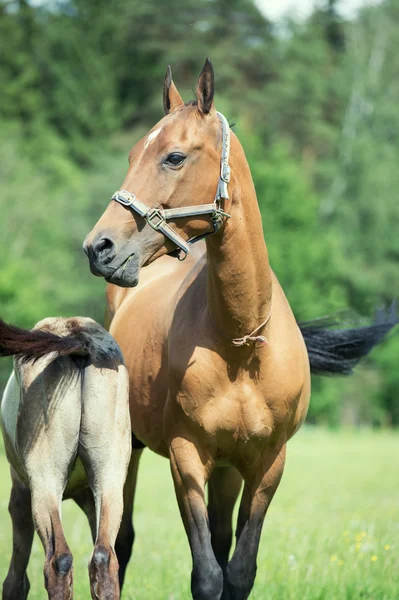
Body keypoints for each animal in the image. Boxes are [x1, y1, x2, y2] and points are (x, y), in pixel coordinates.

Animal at [0, 316, 131, 596]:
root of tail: (78, 338)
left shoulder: (20, 492)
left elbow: (15, 580)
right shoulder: (91, 497)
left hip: (45, 482)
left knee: (58, 560)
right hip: (110, 480)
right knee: (104, 558)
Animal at [83, 62, 396, 600]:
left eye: (174, 156)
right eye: (131, 154)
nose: (99, 247)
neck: (241, 345)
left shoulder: (267, 463)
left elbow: (239, 570)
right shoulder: (186, 457)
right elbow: (207, 575)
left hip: (228, 470)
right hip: (132, 449)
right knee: (119, 541)